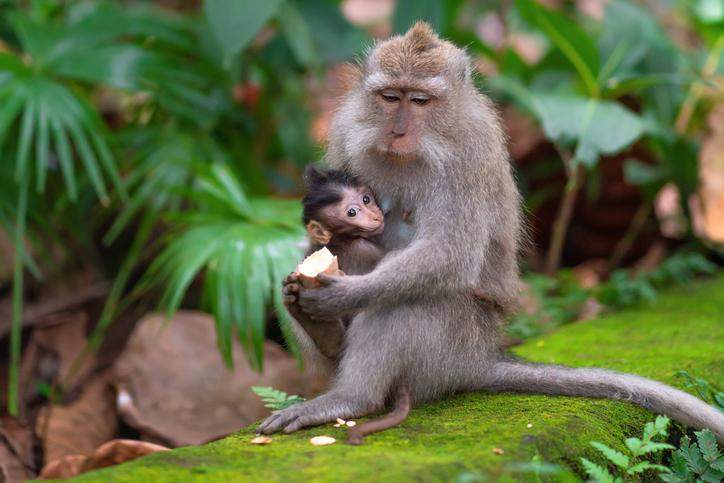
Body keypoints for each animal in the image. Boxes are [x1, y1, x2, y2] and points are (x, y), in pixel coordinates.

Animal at [260, 22, 724, 442]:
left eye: (420, 100)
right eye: (390, 97)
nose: (398, 129)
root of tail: (479, 359)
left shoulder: (468, 154)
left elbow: (449, 252)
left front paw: (344, 295)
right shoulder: (345, 128)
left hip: (451, 348)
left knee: (406, 298)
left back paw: (354, 397)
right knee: (303, 283)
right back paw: (324, 336)